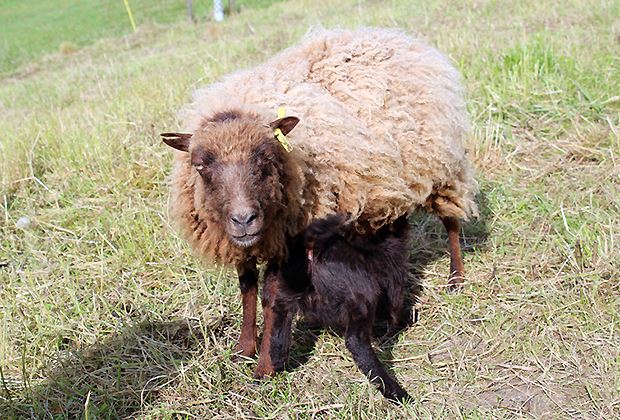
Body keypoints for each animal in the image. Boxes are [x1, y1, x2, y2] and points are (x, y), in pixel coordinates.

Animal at [162, 28, 478, 378]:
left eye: (267, 158)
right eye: (200, 166)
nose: (244, 219)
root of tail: (395, 36)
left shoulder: (290, 235)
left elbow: (271, 296)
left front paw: (265, 365)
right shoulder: (244, 241)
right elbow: (247, 287)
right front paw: (244, 349)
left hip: (441, 166)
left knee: (450, 221)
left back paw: (455, 278)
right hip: (390, 182)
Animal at [266, 215, 416, 402]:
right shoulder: (392, 270)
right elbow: (394, 306)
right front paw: (403, 321)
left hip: (286, 291)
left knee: (279, 330)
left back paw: (273, 369)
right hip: (363, 295)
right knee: (355, 339)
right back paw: (395, 392)